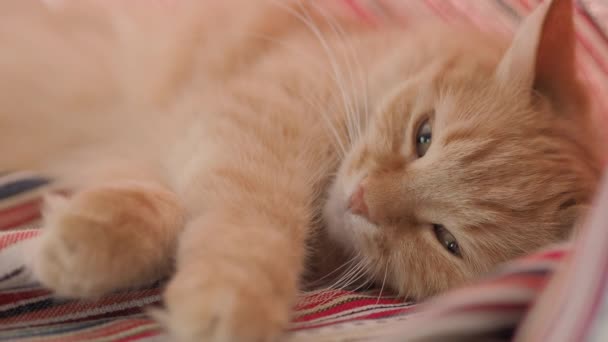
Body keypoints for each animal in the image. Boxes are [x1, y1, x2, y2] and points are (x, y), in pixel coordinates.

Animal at [0, 0, 600, 340]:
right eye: (423, 136)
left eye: (445, 240)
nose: (361, 199)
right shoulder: (253, 123)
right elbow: (250, 231)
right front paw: (231, 302)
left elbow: (160, 210)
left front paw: (78, 245)